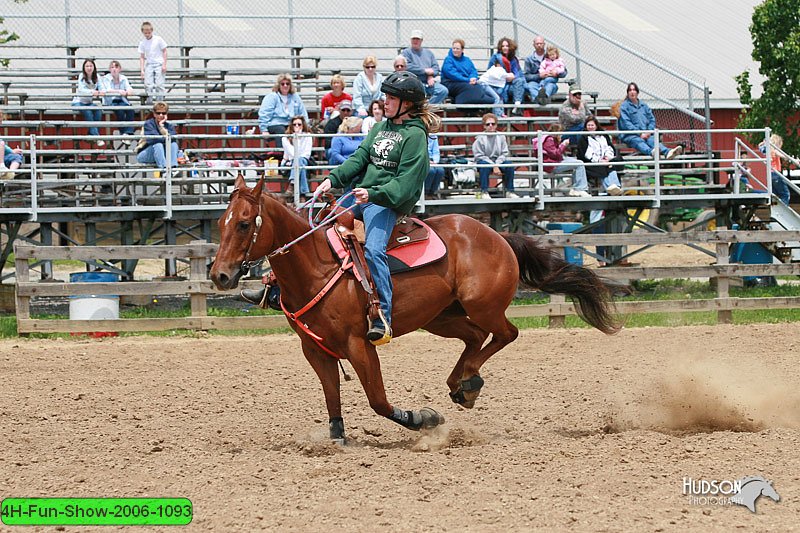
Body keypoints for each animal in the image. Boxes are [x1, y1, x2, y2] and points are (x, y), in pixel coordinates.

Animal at [211, 177, 620, 442]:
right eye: (220, 222)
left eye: (245, 224)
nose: (219, 275)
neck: (316, 266)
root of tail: (497, 235)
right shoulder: (315, 349)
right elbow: (332, 400)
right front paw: (337, 440)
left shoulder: (360, 345)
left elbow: (378, 401)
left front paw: (423, 419)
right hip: (441, 316)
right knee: (475, 337)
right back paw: (463, 384)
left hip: (482, 305)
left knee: (506, 333)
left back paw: (466, 383)